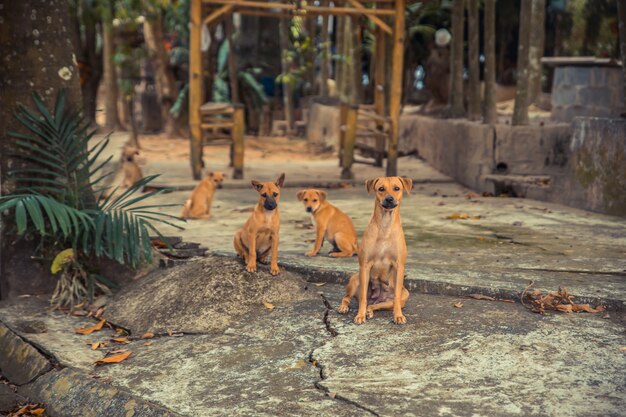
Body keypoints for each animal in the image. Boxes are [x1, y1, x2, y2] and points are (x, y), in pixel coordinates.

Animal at [338, 176, 412, 324]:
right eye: (381, 189)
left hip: (403, 294)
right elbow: (362, 297)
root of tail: (377, 298)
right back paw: (345, 307)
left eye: (397, 188)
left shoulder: (399, 266)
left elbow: (395, 297)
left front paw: (398, 316)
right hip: (355, 279)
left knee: (375, 305)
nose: (389, 199)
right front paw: (360, 315)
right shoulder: (365, 265)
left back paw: (369, 311)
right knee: (348, 297)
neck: (385, 226)